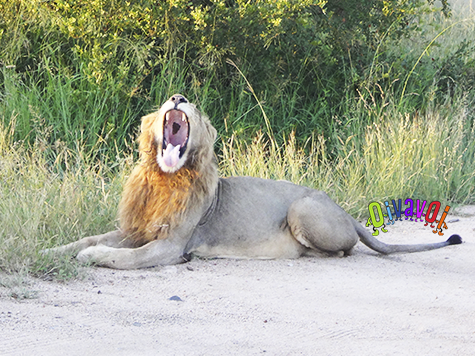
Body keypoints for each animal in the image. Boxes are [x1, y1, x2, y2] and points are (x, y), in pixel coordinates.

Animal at [43, 93, 462, 268]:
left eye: (193, 104)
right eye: (166, 101)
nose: (177, 97)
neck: (164, 178)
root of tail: (346, 211)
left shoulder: (171, 246)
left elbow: (119, 256)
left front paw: (91, 257)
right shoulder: (136, 229)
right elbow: (91, 238)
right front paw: (53, 251)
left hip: (302, 209)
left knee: (342, 251)